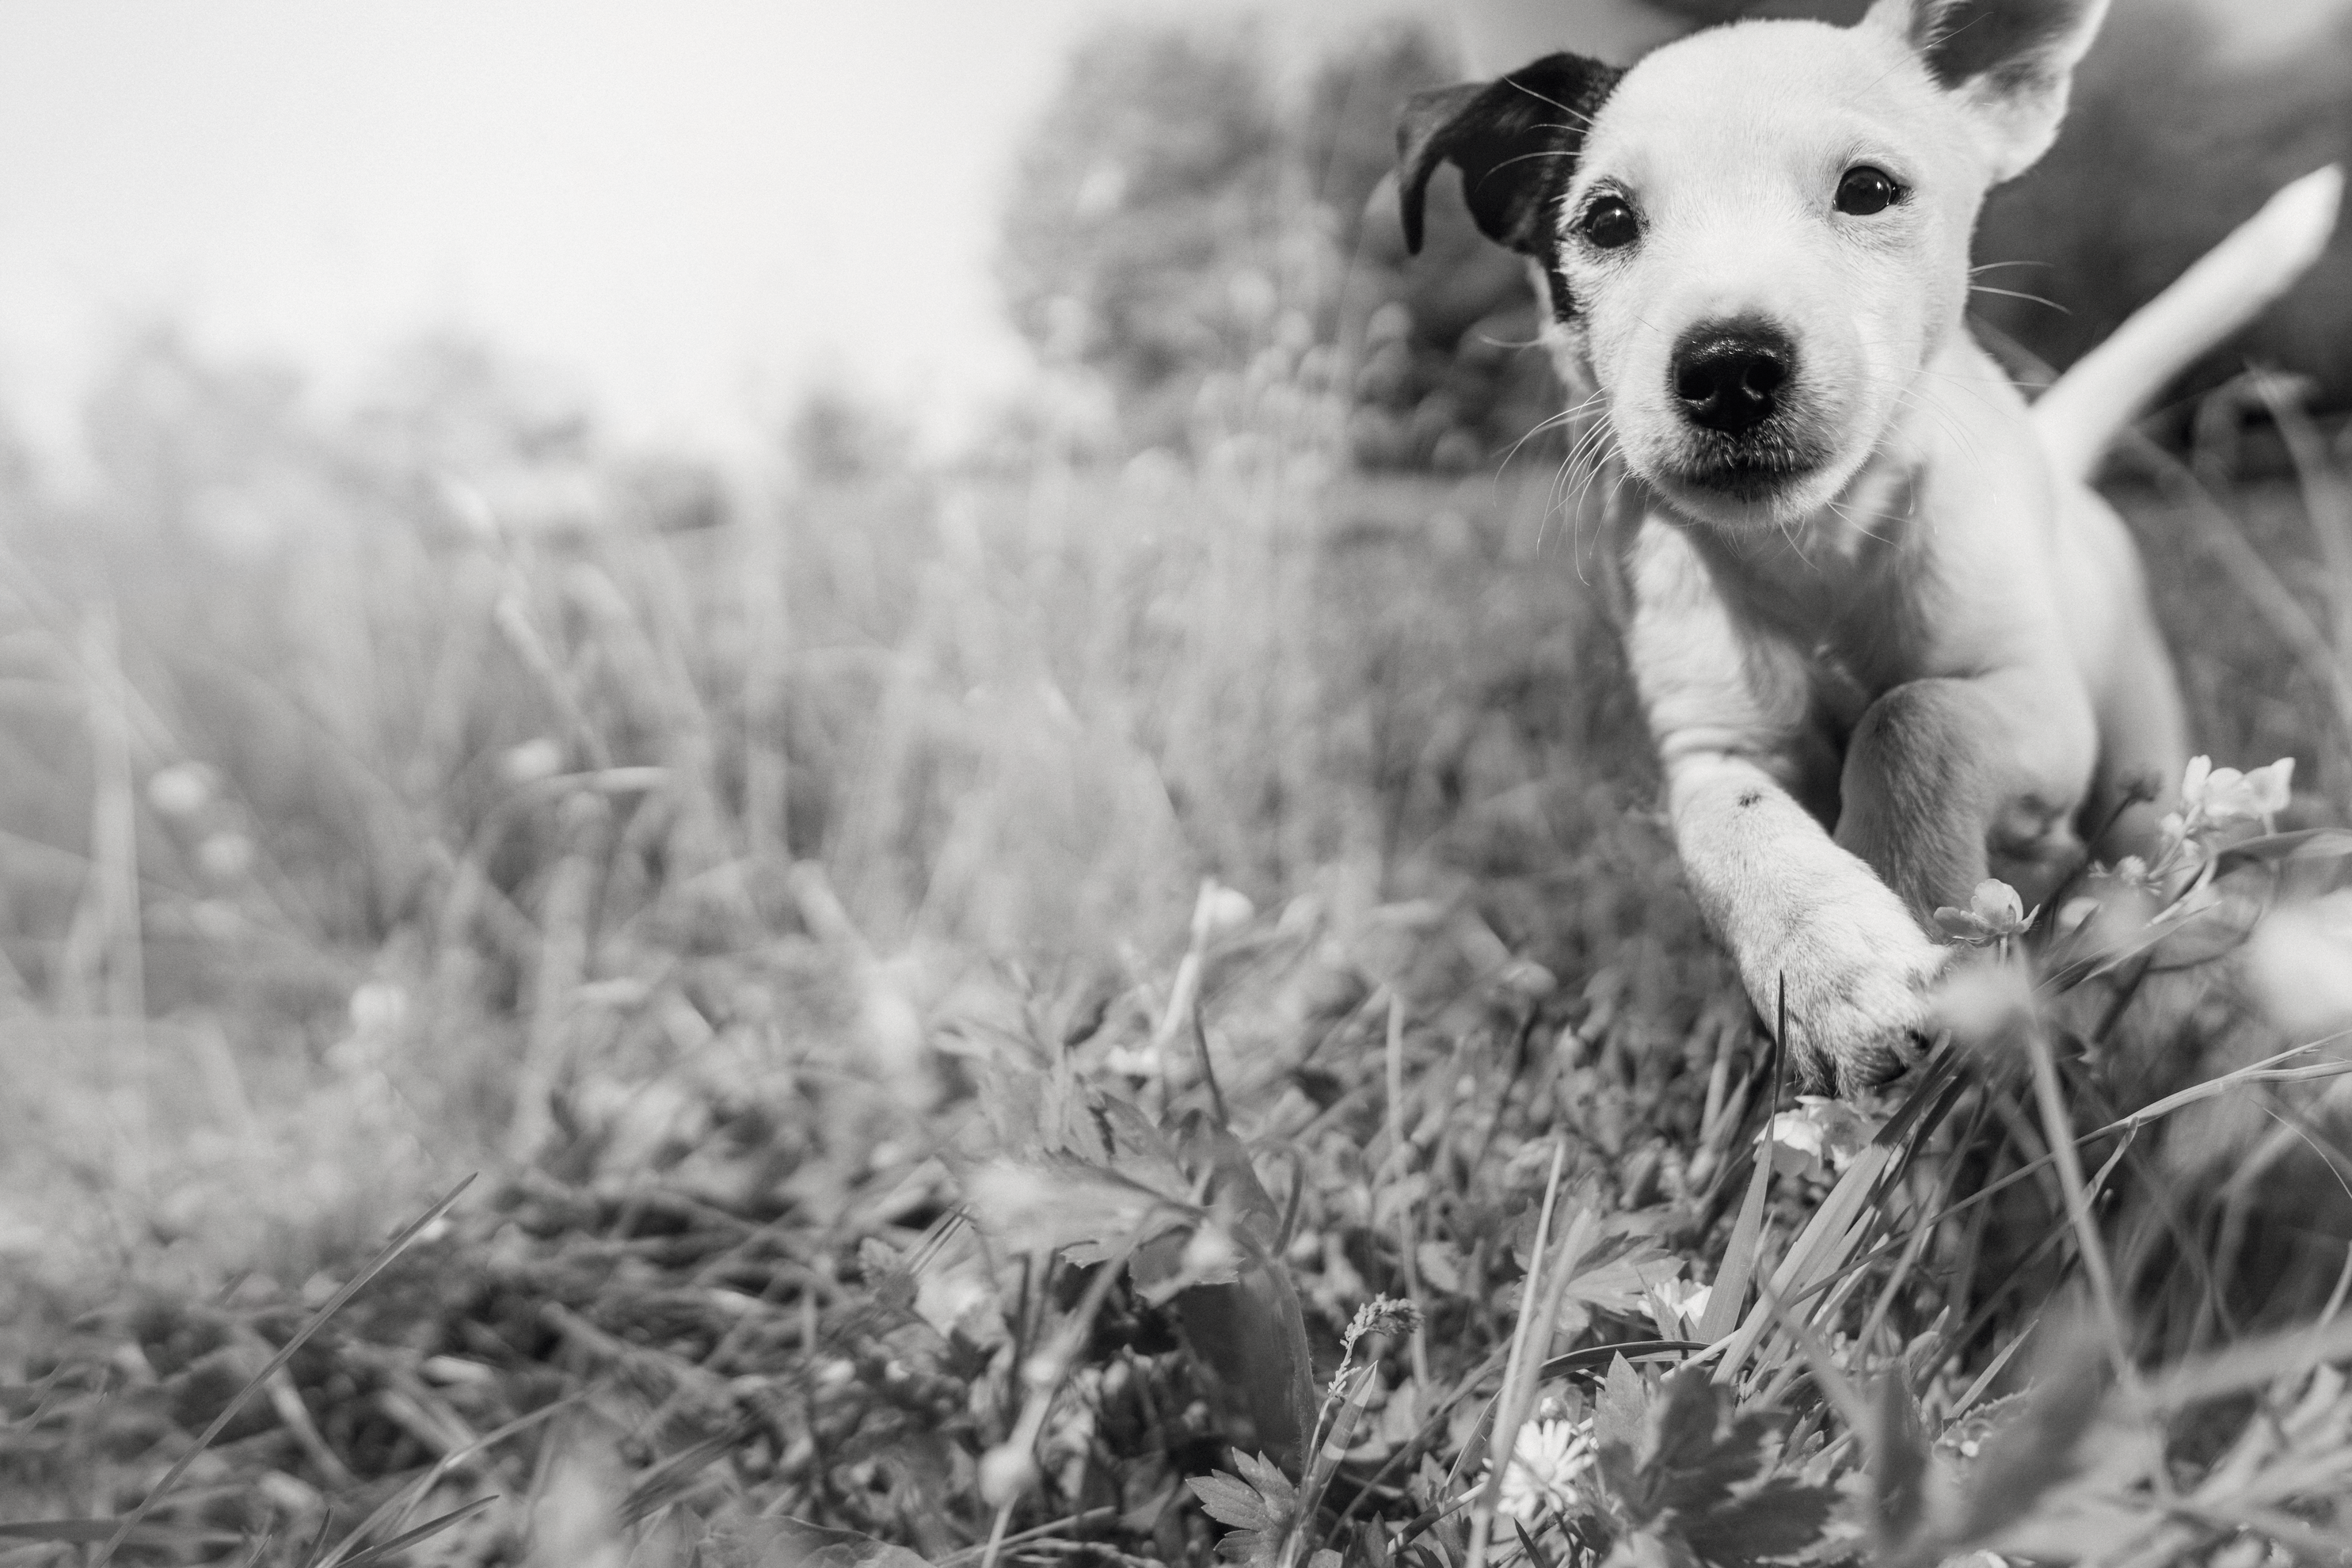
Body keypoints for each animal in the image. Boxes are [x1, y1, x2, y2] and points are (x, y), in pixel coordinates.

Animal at [1392, 0, 2333, 1100]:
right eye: (1608, 220)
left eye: (1868, 190)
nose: (1728, 369)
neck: (1816, 545)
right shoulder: (1713, 739)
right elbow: (1733, 824)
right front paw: (1843, 975)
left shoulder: (2034, 699)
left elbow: (1914, 717)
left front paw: (1920, 898)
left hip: (2141, 764)